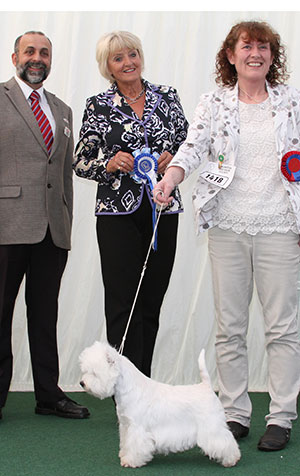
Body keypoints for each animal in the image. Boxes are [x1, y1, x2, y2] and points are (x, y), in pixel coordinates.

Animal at [78, 342, 240, 468]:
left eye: (94, 373)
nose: (82, 383)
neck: (128, 389)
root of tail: (206, 386)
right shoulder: (125, 425)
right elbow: (125, 442)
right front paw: (124, 455)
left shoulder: (137, 428)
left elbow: (136, 445)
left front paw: (130, 461)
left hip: (212, 426)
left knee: (225, 441)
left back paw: (231, 460)